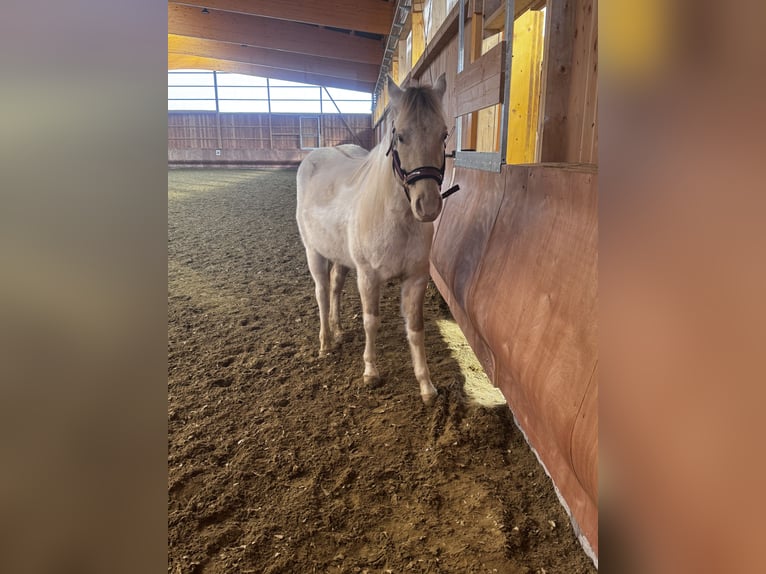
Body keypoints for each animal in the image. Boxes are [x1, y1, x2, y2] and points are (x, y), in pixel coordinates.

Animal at [296, 74, 454, 406]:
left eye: (443, 134)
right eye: (401, 136)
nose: (427, 206)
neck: (395, 217)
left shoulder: (416, 278)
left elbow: (416, 328)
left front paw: (426, 385)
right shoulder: (368, 276)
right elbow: (371, 321)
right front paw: (370, 372)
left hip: (341, 259)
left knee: (334, 288)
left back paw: (338, 331)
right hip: (314, 252)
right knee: (321, 292)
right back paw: (326, 343)